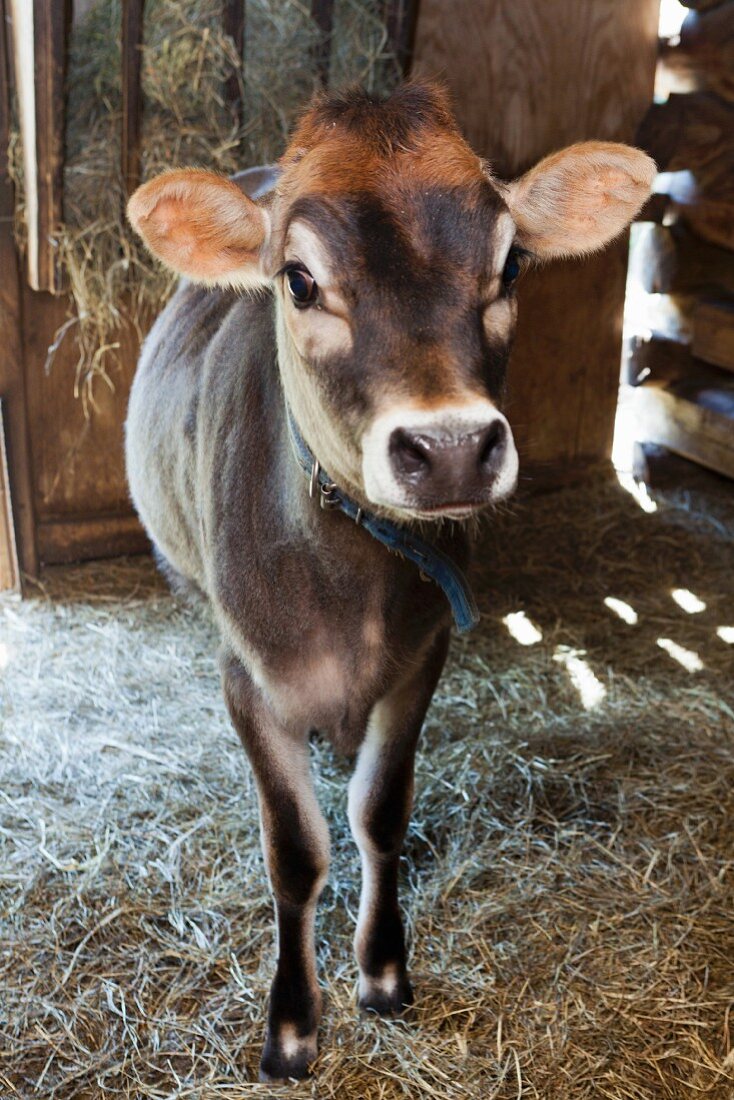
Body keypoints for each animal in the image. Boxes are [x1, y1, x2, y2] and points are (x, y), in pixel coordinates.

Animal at [126, 81, 655, 1078]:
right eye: (298, 280)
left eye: (511, 262)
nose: (448, 448)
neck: (346, 595)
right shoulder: (249, 680)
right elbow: (296, 852)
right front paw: (293, 1025)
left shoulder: (421, 660)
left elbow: (379, 815)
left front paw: (381, 973)